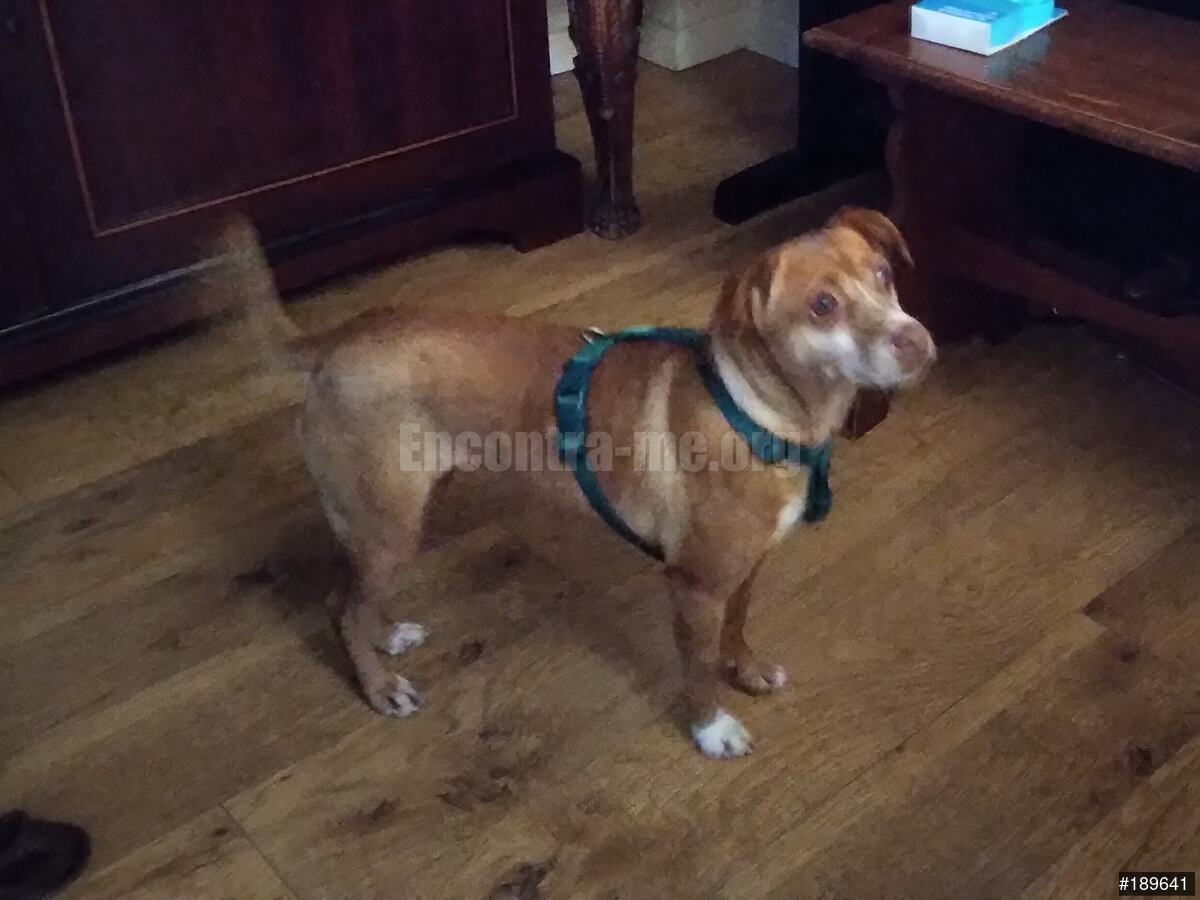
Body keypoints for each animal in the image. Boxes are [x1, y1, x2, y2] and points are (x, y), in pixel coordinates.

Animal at [218, 208, 935, 759]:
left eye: (884, 276)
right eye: (823, 306)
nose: (918, 341)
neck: (760, 411)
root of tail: (338, 339)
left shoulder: (743, 569)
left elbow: (737, 628)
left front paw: (746, 668)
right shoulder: (695, 586)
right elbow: (698, 670)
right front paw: (711, 729)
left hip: (405, 511)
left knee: (358, 597)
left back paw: (386, 635)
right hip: (388, 524)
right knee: (339, 606)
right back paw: (378, 685)